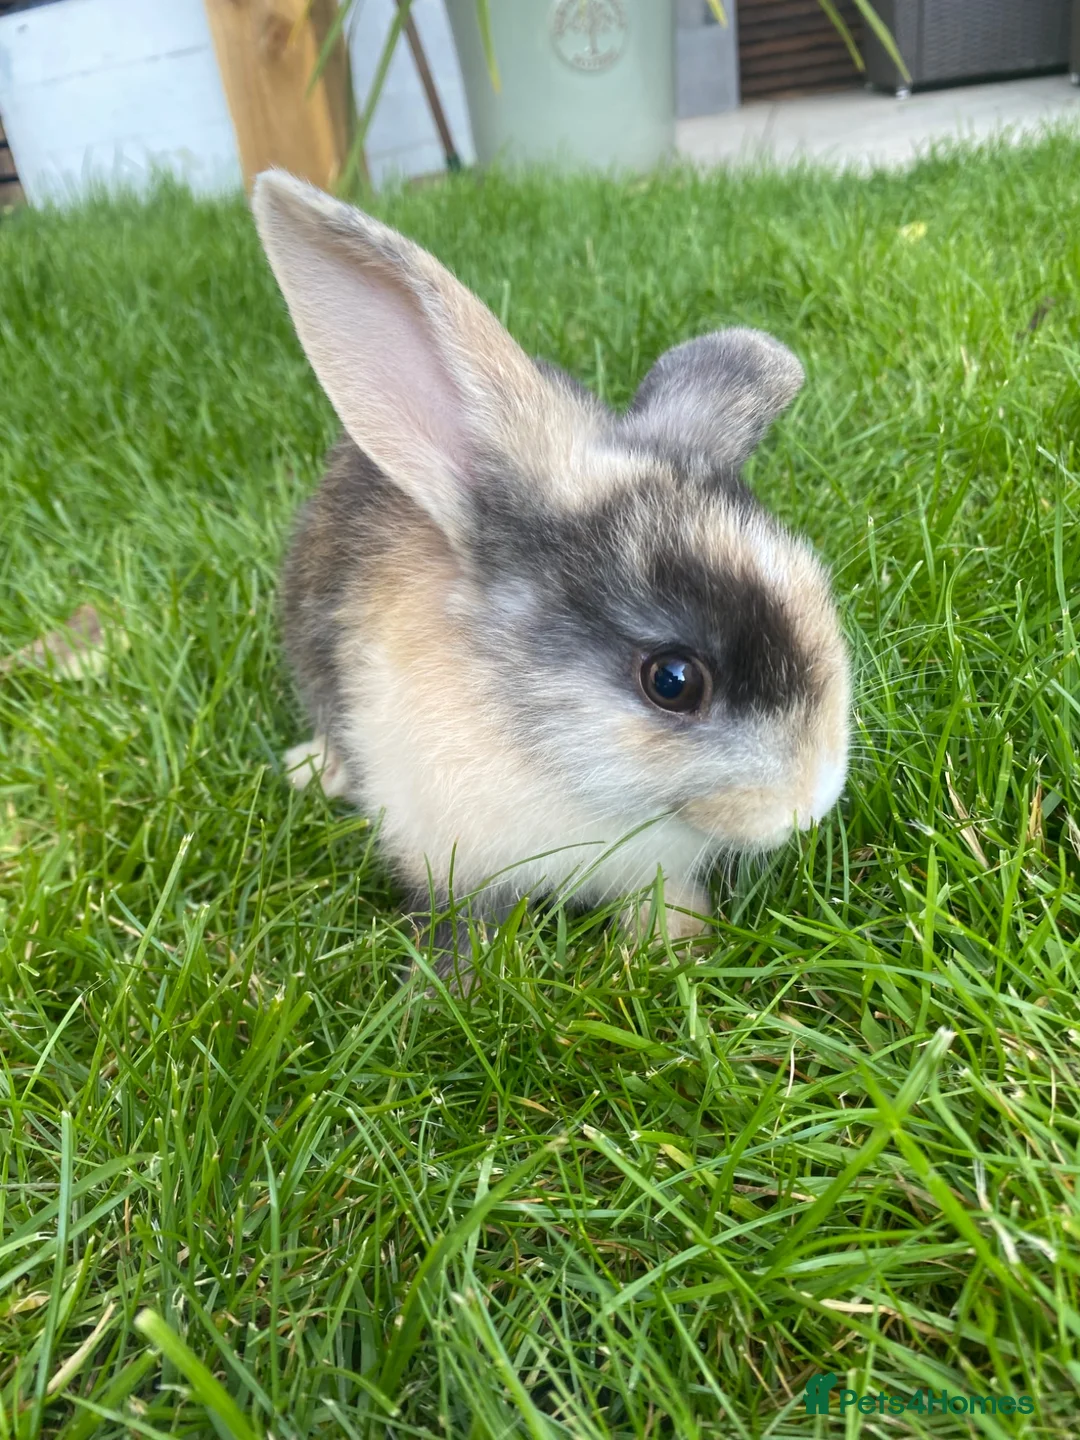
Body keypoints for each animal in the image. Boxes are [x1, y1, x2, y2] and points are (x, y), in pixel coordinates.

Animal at [252, 170, 851, 985]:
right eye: (672, 681)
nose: (811, 802)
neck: (553, 765)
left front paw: (678, 950)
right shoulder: (450, 860)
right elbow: (459, 926)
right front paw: (451, 992)